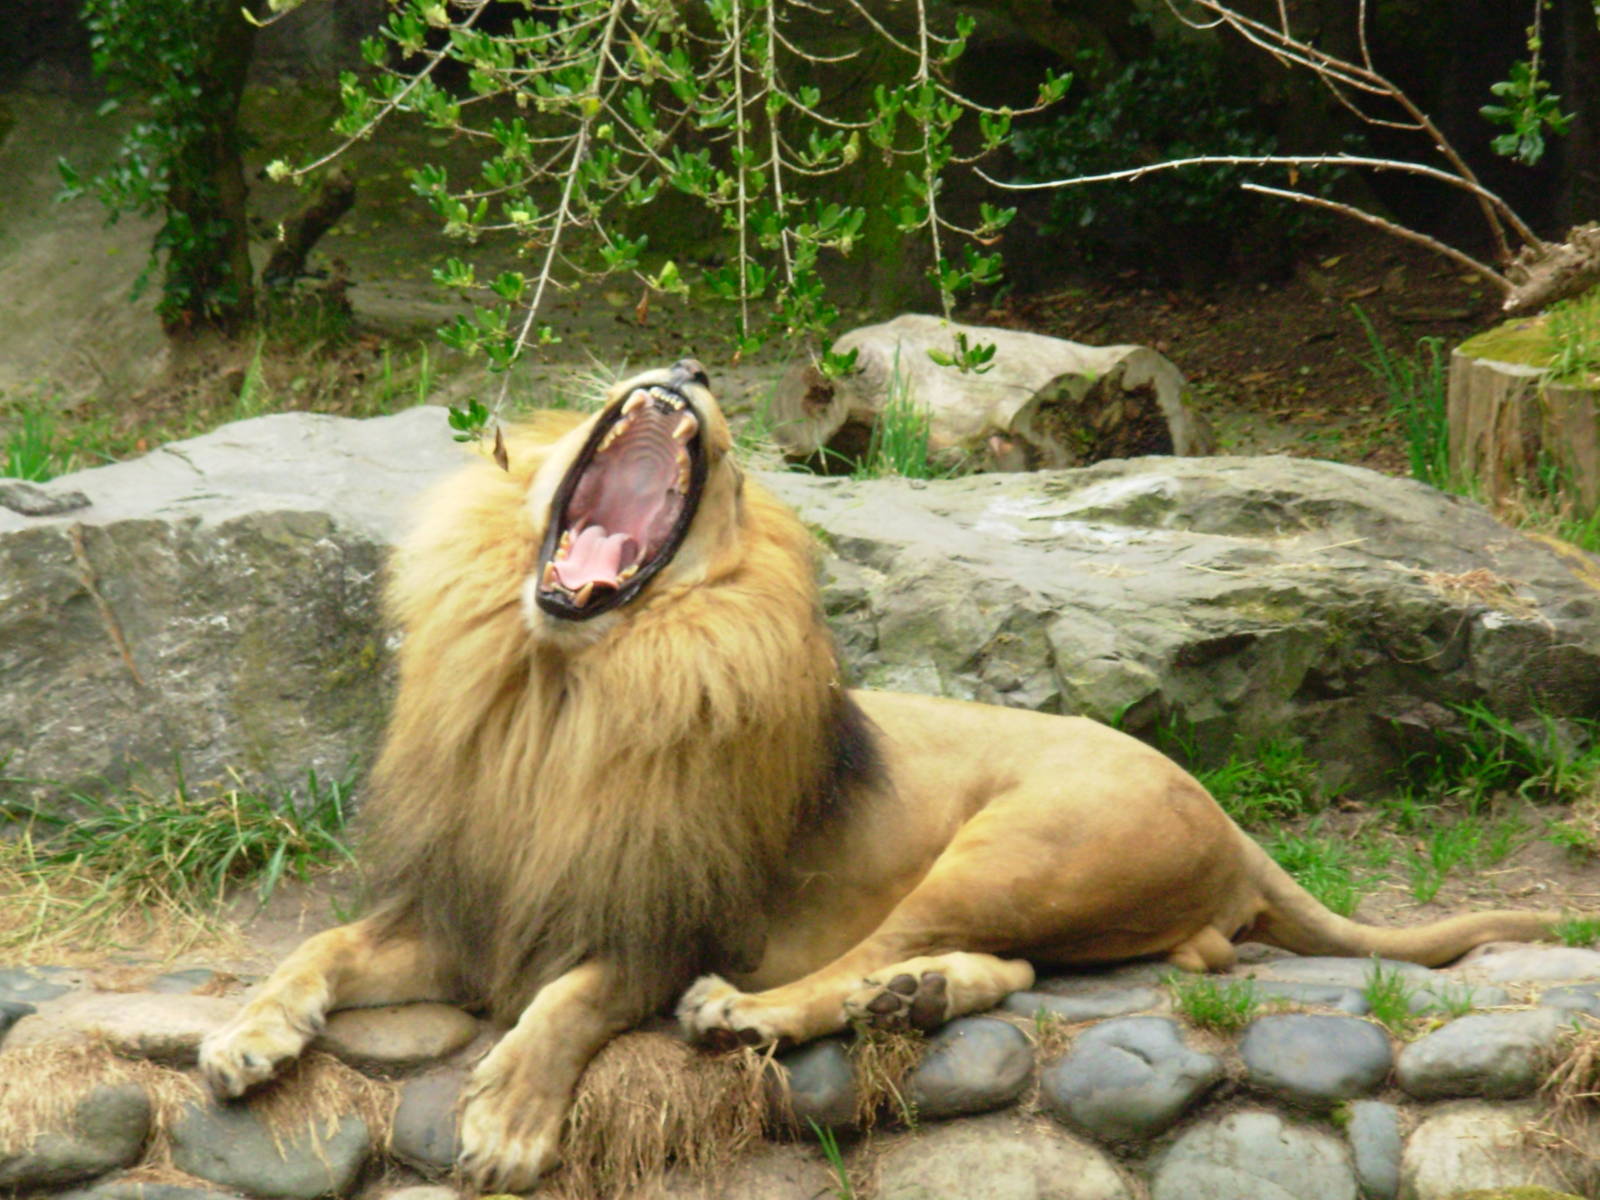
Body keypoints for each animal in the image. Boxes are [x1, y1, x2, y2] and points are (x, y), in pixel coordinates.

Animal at [200, 359, 1568, 1191]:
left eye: (730, 463)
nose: (687, 369)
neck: (562, 691)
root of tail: (1232, 825)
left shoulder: (659, 920)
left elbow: (567, 1006)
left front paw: (506, 1119)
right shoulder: (466, 909)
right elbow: (315, 948)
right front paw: (245, 1037)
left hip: (1017, 846)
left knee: (874, 958)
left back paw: (758, 1013)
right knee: (1002, 973)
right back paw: (910, 1002)